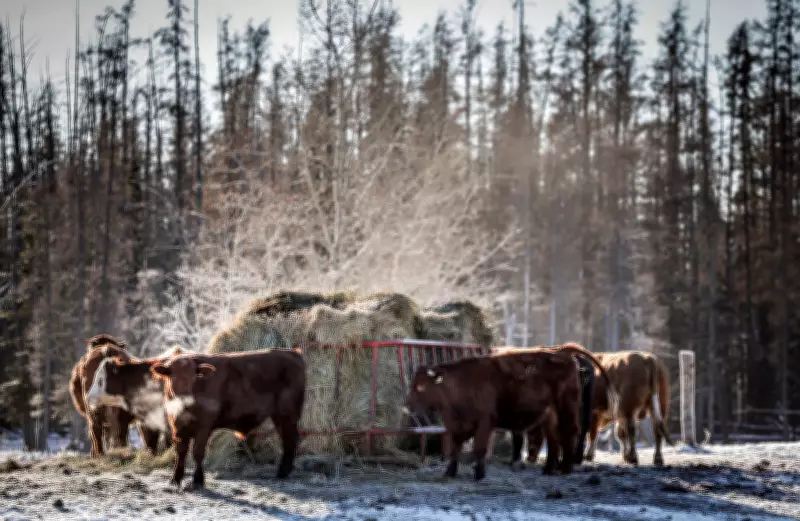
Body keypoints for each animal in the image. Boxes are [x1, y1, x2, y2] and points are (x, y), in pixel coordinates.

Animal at [149, 349, 306, 490]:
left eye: (194, 377)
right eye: (173, 377)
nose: (185, 398)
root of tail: (292, 353)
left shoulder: (204, 426)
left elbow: (198, 452)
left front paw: (198, 480)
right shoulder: (178, 426)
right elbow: (181, 452)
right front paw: (175, 479)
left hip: (287, 415)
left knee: (290, 440)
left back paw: (282, 472)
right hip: (280, 417)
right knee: (288, 440)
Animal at [404, 347, 600, 481]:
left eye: (421, 386)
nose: (406, 405)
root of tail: (566, 356)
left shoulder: (484, 423)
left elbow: (480, 449)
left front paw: (479, 475)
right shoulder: (456, 426)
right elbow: (455, 449)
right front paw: (450, 472)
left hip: (566, 409)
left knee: (570, 434)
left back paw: (565, 468)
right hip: (549, 416)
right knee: (554, 440)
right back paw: (548, 470)